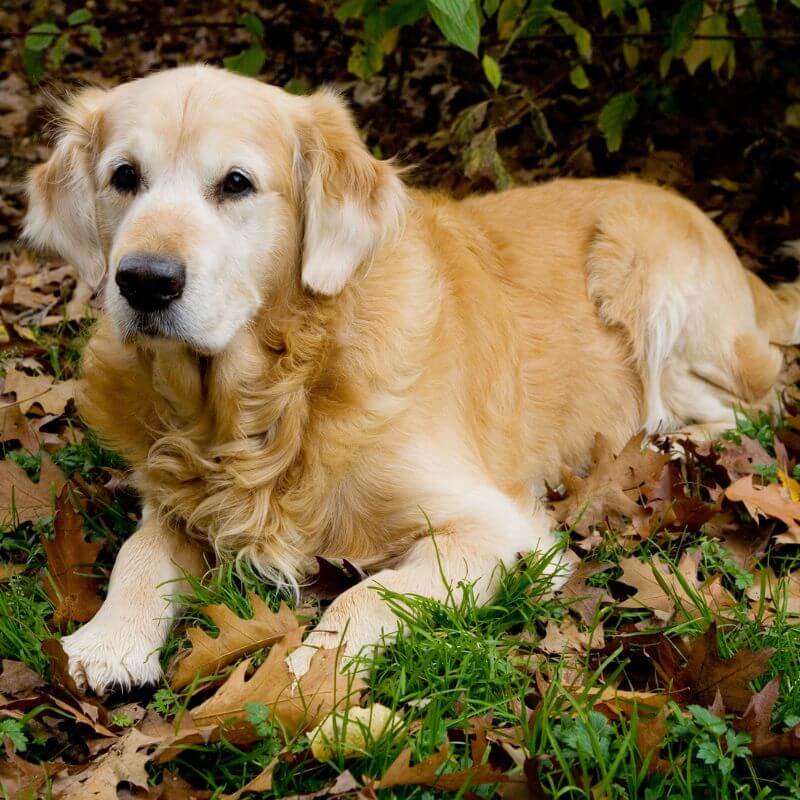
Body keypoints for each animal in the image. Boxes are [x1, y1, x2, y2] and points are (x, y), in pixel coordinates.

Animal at [21, 65, 796, 692]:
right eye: (125, 177)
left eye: (235, 184)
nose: (145, 281)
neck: (274, 396)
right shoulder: (177, 500)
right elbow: (140, 550)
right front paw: (109, 640)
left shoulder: (492, 529)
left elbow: (363, 595)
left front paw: (308, 676)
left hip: (641, 270)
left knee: (742, 408)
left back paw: (657, 447)